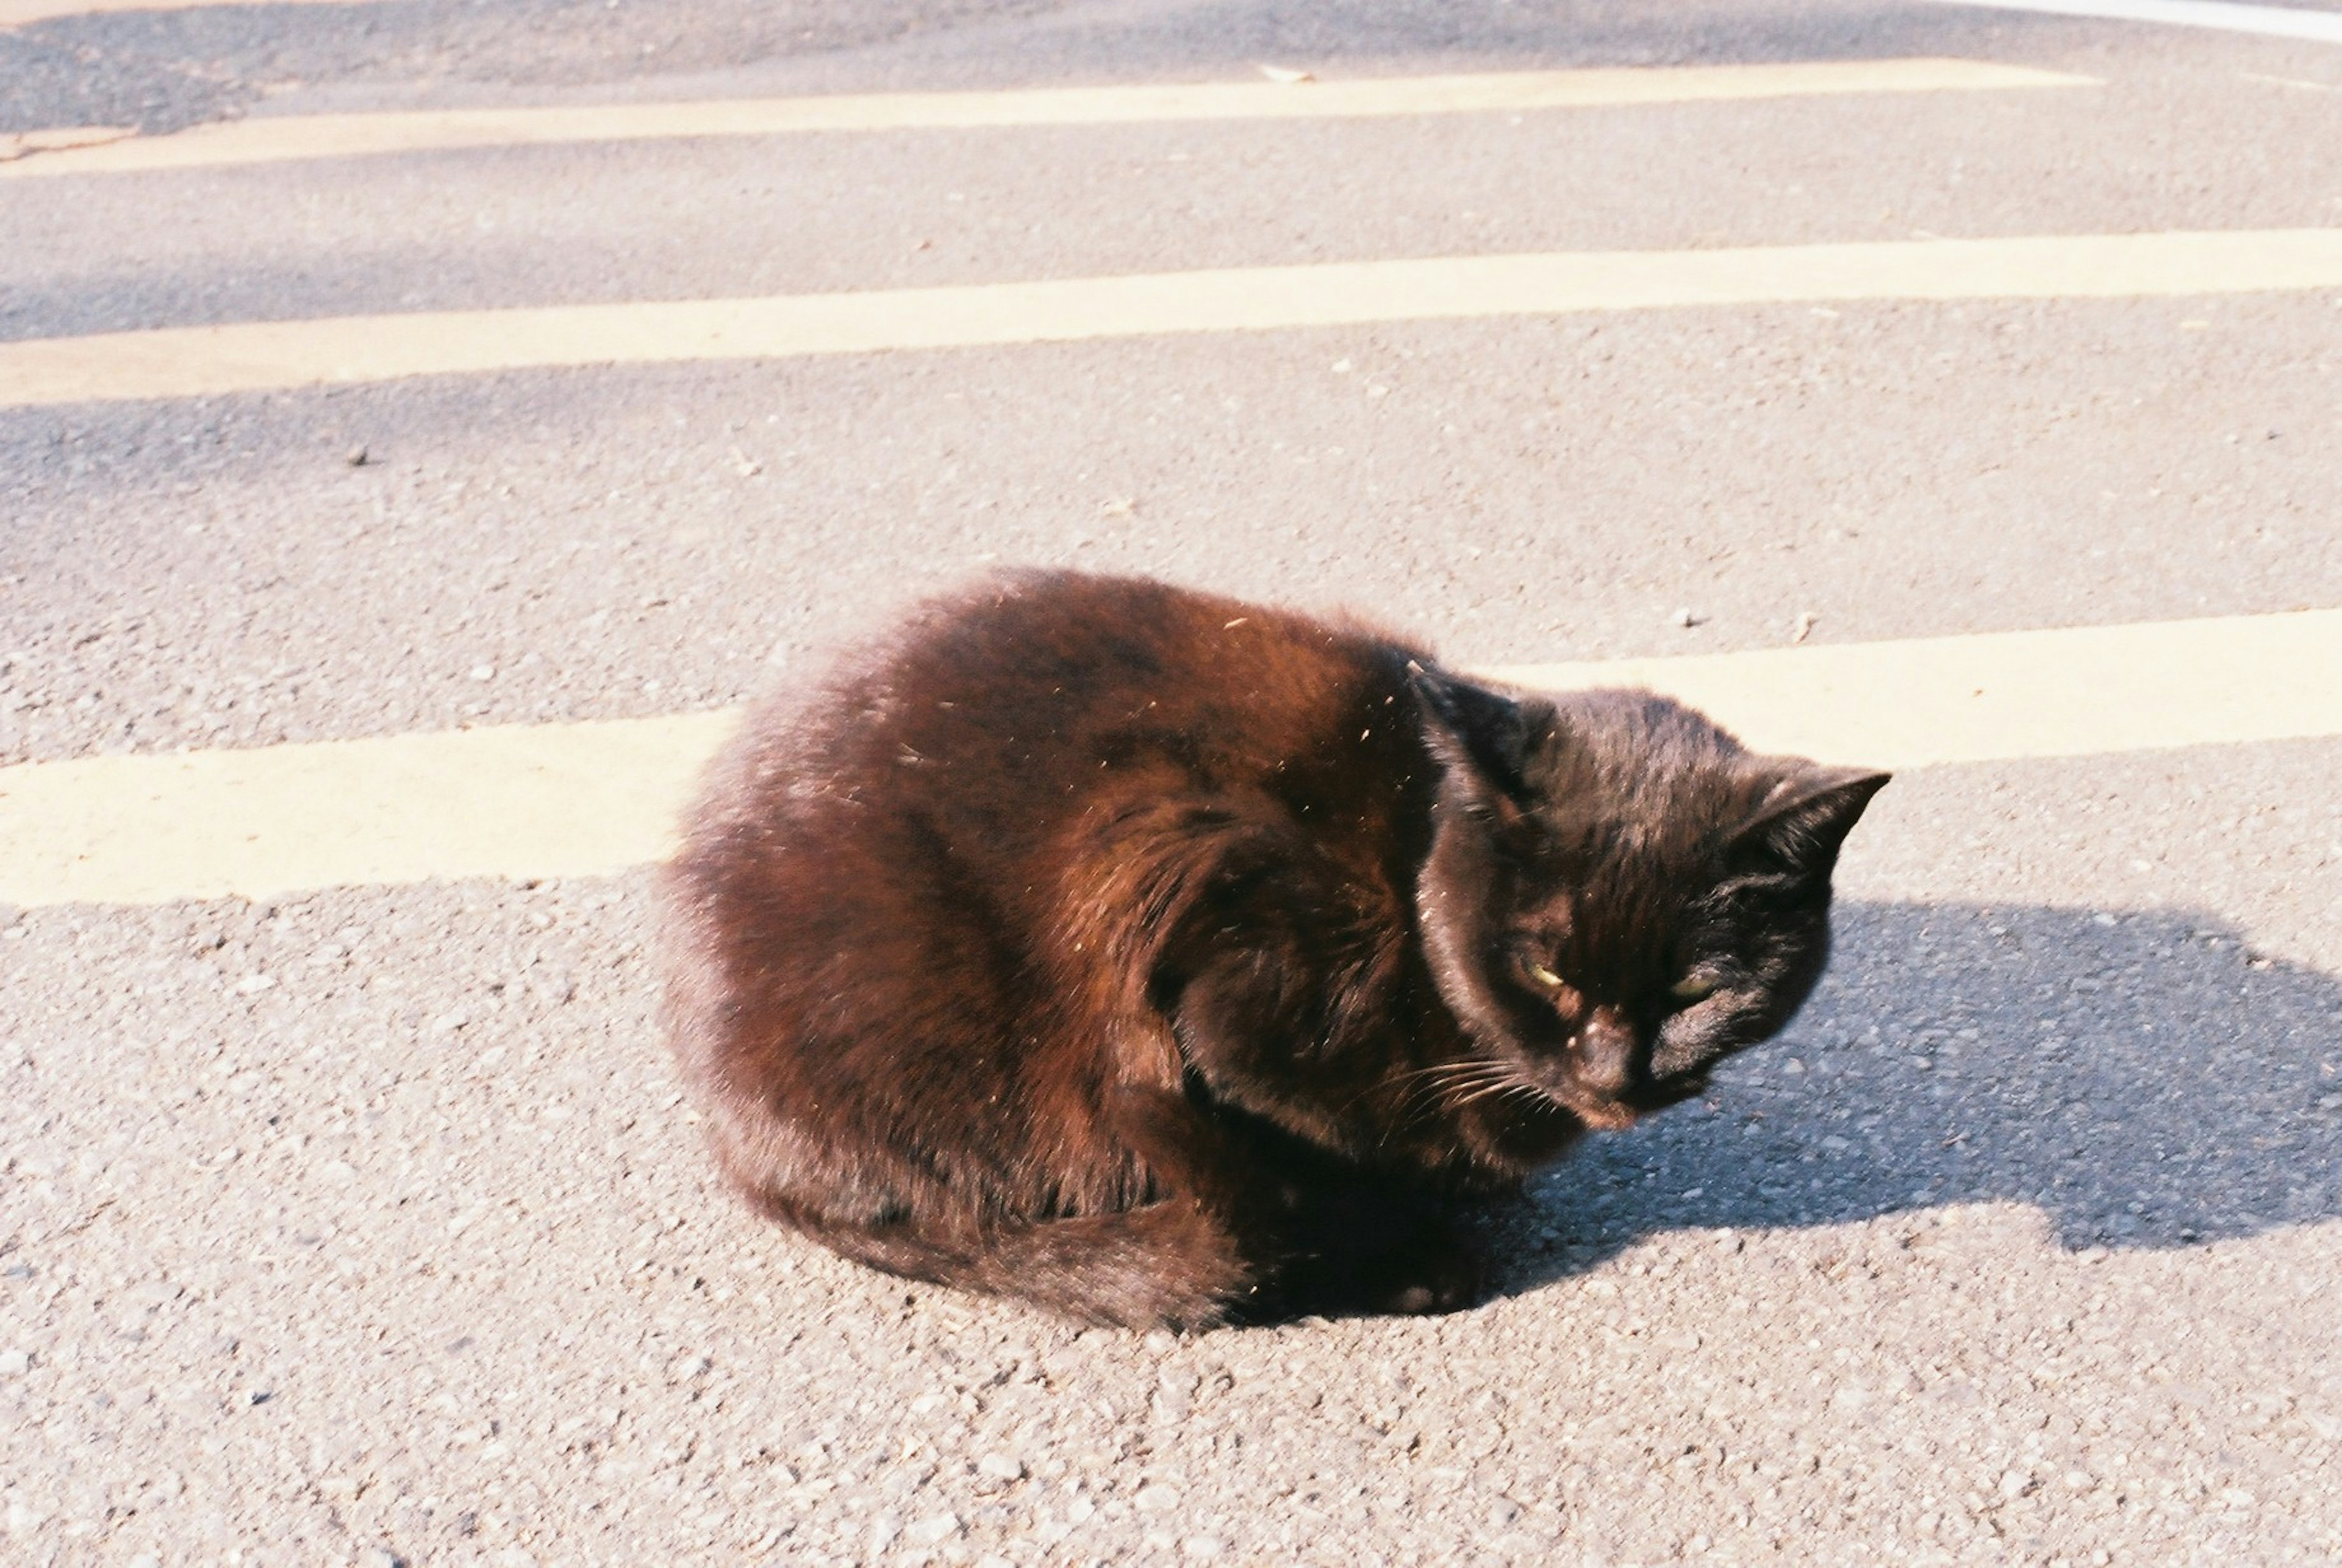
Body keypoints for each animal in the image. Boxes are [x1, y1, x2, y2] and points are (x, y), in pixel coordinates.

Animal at [660, 571, 1883, 1329]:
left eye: (1697, 987)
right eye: (1546, 971)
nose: (1612, 1073)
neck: (1408, 860)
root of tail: (744, 1150)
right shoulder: (1221, 974)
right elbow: (1293, 1169)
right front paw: (1406, 1258)